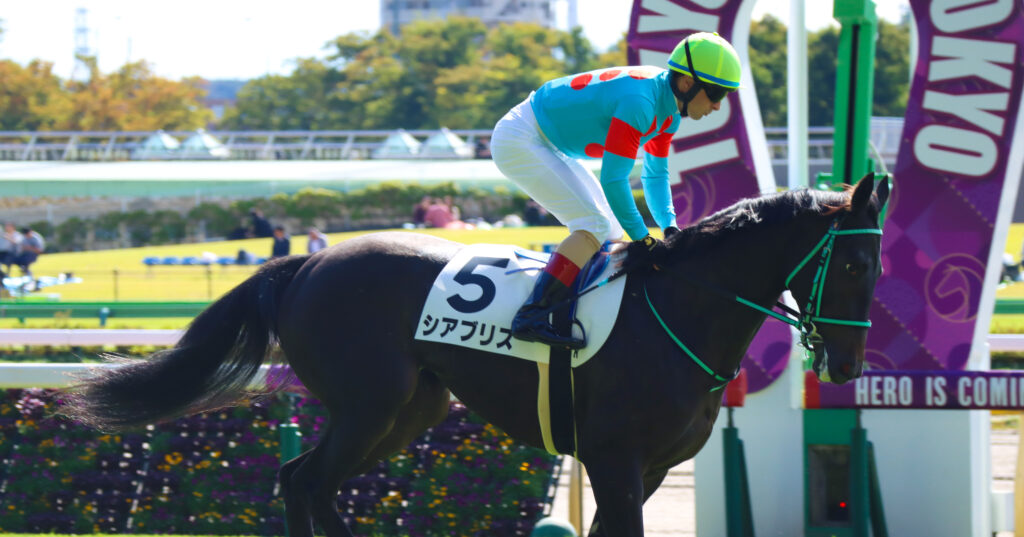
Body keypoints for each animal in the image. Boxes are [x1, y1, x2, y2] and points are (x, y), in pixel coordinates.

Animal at [62, 174, 889, 537]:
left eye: (876, 266)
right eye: (853, 263)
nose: (848, 367)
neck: (679, 308)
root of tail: (304, 263)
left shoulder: (649, 469)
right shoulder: (616, 460)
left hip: (411, 410)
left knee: (305, 481)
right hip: (369, 405)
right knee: (306, 481)